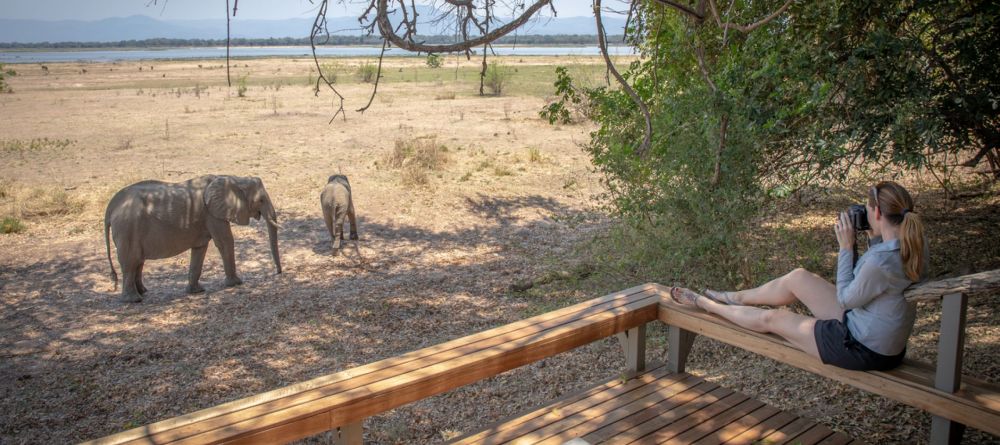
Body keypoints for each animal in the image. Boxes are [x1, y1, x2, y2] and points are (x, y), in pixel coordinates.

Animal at [104, 175, 282, 302]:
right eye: (260, 200)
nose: (278, 273)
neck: (233, 178)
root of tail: (111, 207)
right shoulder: (212, 213)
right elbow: (225, 242)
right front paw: (237, 283)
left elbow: (200, 249)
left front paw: (197, 291)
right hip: (127, 229)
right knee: (130, 262)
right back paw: (134, 300)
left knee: (138, 262)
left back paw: (143, 292)